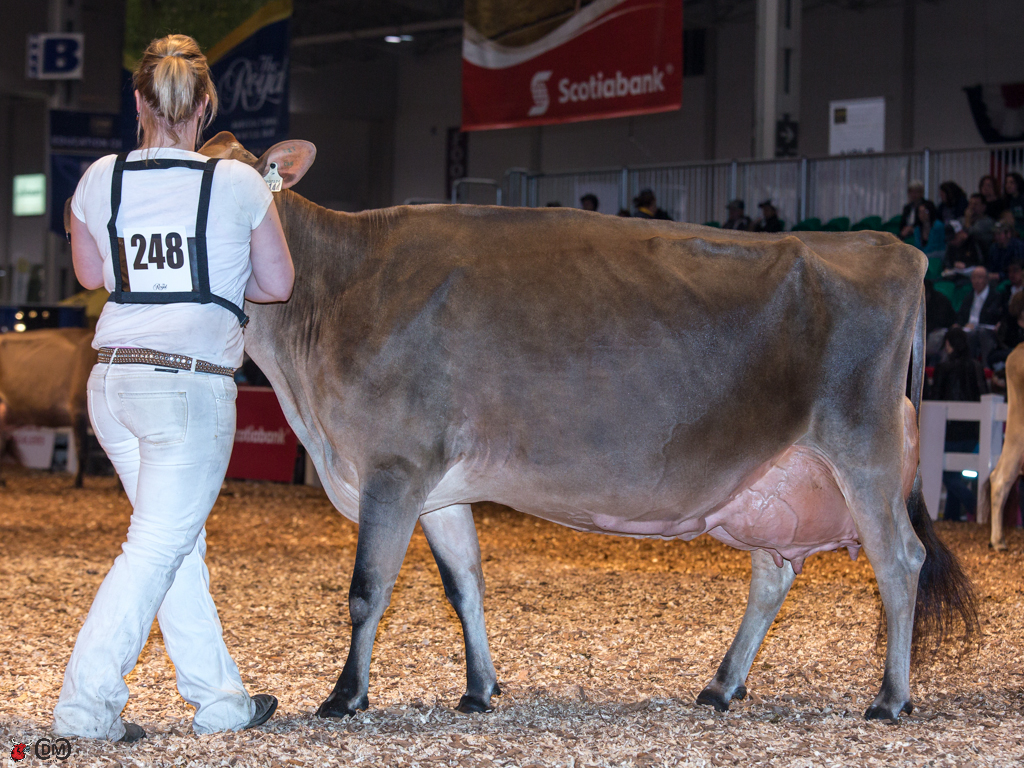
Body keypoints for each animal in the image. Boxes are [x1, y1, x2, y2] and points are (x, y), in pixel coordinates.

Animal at [192, 132, 980, 722]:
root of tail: (892, 247)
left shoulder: (395, 463)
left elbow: (368, 587)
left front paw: (344, 697)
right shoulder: (438, 485)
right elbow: (466, 585)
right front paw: (479, 690)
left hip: (864, 446)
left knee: (899, 561)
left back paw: (890, 699)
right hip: (777, 477)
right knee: (773, 575)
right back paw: (722, 686)